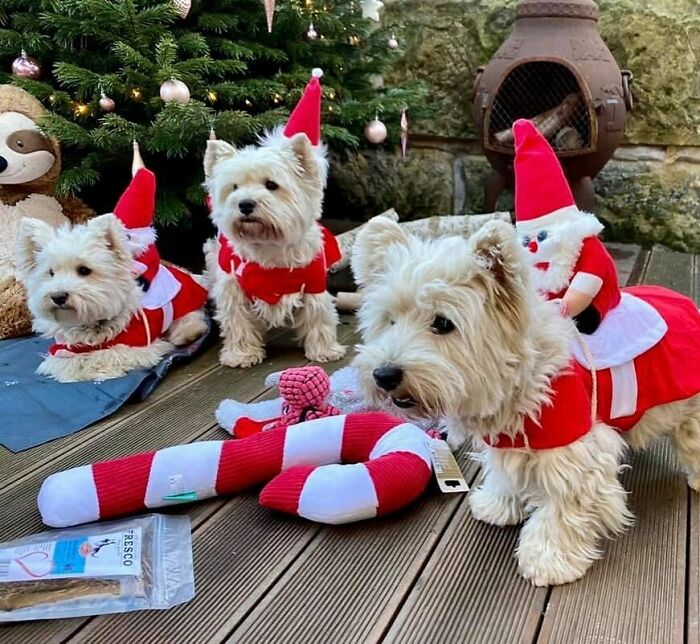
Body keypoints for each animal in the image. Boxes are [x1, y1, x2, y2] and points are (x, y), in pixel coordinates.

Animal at [202, 68, 344, 370]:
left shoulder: (313, 282)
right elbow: (237, 322)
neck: (269, 248)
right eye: (234, 187)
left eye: (271, 184)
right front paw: (242, 354)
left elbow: (319, 315)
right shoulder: (233, 286)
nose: (245, 204)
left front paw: (324, 350)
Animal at [352, 118, 700, 588]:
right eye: (388, 320)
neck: (523, 375)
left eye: (442, 323)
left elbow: (564, 508)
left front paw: (549, 559)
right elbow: (505, 473)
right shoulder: (512, 439)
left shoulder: (576, 452)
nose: (385, 375)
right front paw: (498, 505)